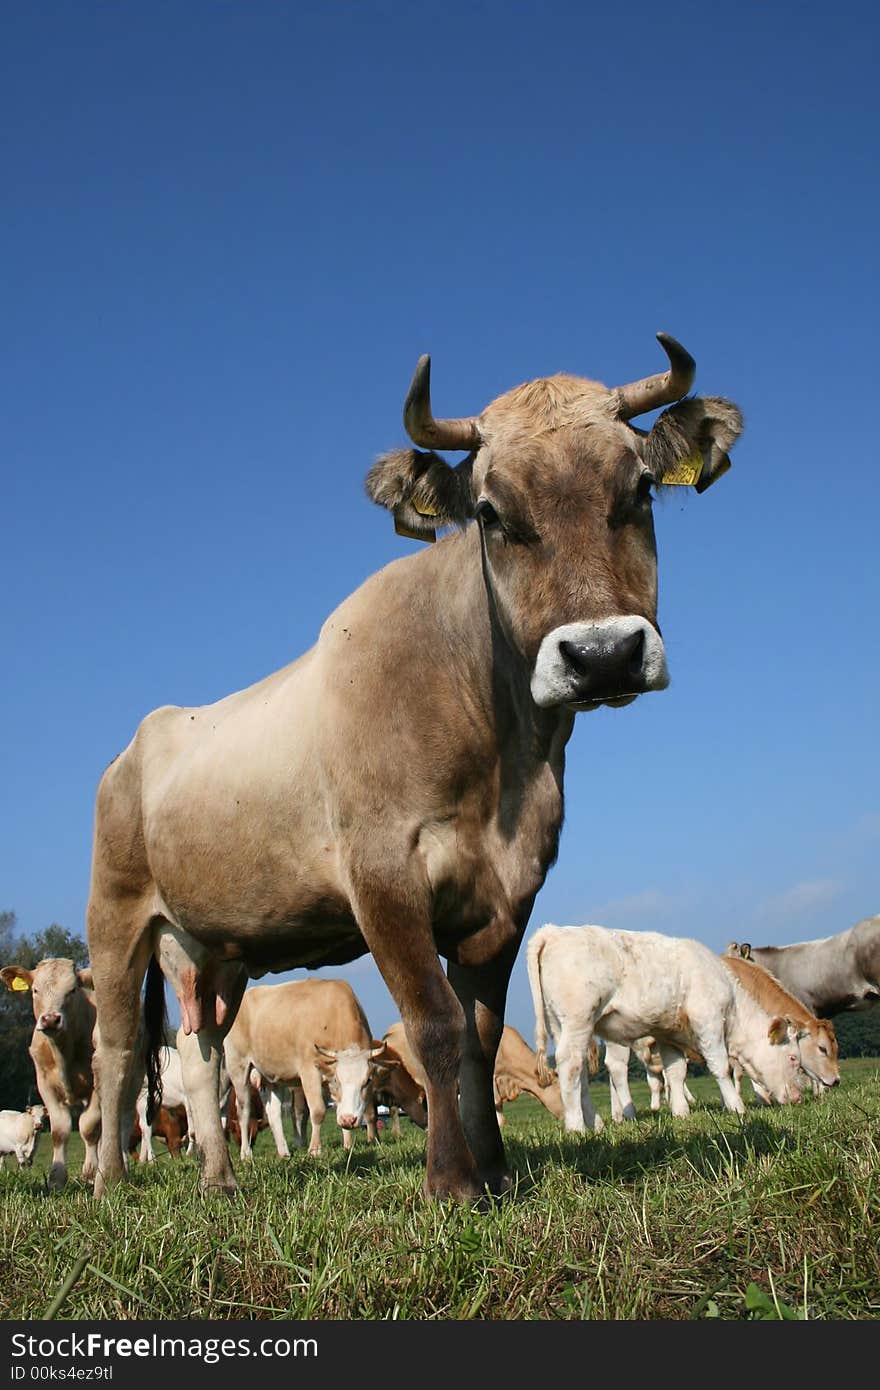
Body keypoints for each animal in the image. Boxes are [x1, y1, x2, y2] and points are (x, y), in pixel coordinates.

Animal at [0, 961, 105, 1189]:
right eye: (35, 990)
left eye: (72, 990)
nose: (50, 1019)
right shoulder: (45, 1085)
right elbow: (60, 1131)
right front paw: (56, 1178)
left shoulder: (96, 1084)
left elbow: (89, 1128)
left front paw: (90, 1173)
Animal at [221, 978, 386, 1162]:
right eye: (338, 1080)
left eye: (368, 1080)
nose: (349, 1120)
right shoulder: (309, 1071)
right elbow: (318, 1111)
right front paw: (314, 1150)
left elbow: (339, 1107)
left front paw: (348, 1145)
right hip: (236, 1067)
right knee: (243, 1111)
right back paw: (245, 1153)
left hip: (273, 1076)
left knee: (273, 1113)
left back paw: (284, 1152)